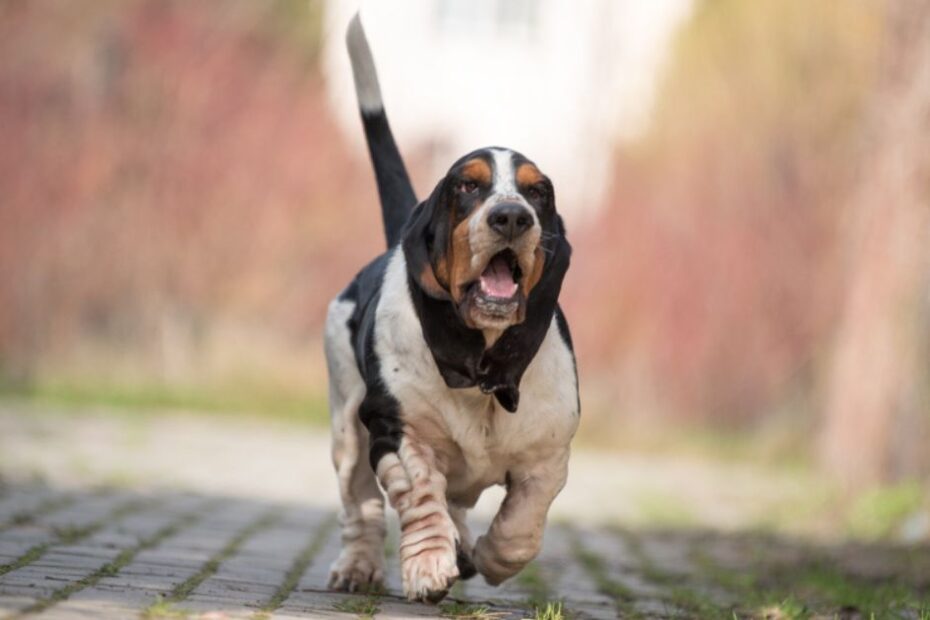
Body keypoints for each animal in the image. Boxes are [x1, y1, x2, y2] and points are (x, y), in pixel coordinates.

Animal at [322, 13, 576, 604]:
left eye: (539, 192)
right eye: (467, 186)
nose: (512, 217)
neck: (481, 364)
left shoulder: (548, 458)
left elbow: (521, 528)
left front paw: (486, 558)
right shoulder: (397, 433)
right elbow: (420, 499)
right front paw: (430, 566)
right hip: (347, 428)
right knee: (362, 508)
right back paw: (359, 568)